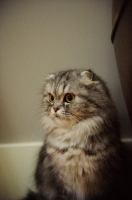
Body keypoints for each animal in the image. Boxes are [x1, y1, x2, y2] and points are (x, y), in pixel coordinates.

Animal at [22, 69, 126, 200]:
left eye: (69, 98)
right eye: (51, 98)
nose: (54, 109)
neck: (72, 143)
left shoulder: (102, 182)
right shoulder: (62, 183)